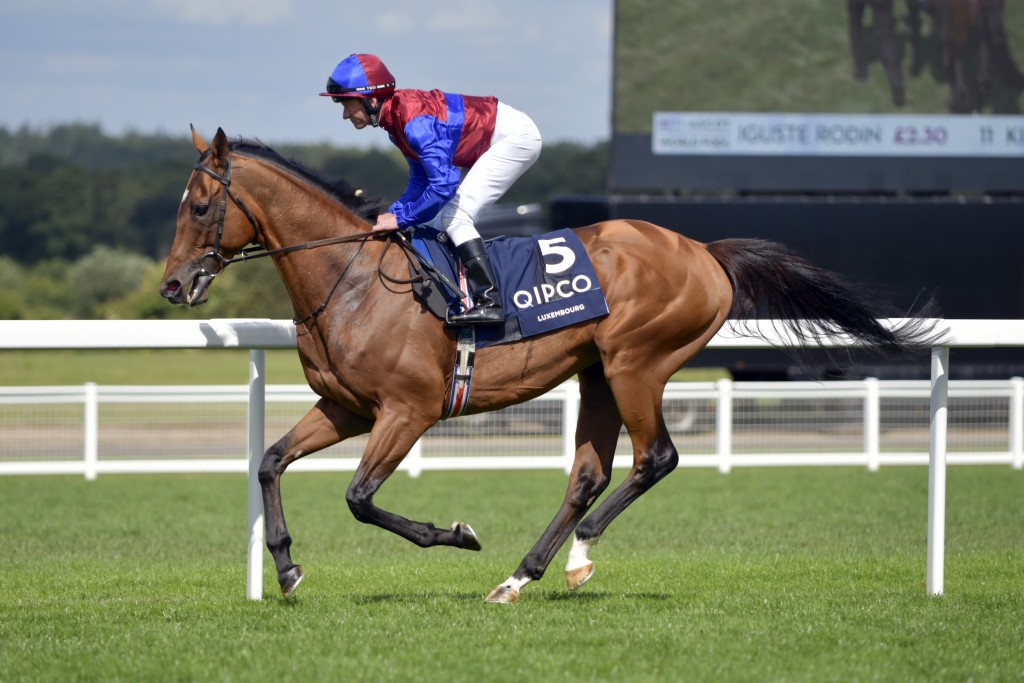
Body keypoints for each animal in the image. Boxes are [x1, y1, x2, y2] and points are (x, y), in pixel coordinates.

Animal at [161, 127, 942, 602]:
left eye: (198, 207)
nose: (172, 285)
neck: (349, 280)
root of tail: (704, 252)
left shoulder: (408, 410)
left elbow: (359, 497)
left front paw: (459, 534)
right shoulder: (348, 407)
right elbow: (269, 461)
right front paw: (288, 567)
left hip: (637, 363)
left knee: (654, 457)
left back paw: (578, 554)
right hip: (596, 371)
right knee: (588, 476)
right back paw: (521, 575)